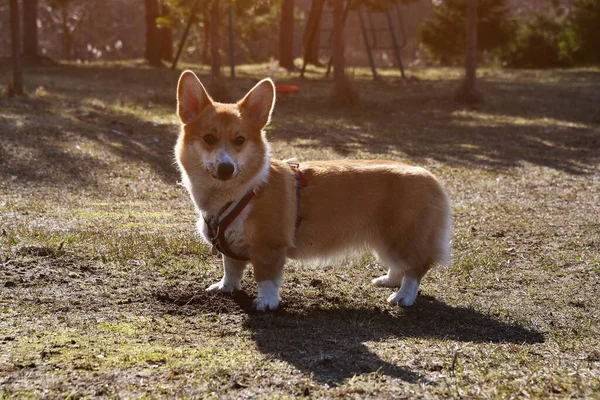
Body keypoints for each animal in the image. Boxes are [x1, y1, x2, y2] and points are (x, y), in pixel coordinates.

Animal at [176, 70, 452, 310]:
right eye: (209, 138)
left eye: (240, 140)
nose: (226, 168)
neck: (239, 191)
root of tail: (432, 177)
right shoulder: (232, 247)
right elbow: (231, 269)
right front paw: (225, 287)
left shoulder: (269, 247)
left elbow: (265, 278)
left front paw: (266, 302)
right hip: (384, 238)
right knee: (399, 264)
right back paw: (389, 280)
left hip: (403, 236)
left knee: (415, 268)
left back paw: (403, 296)